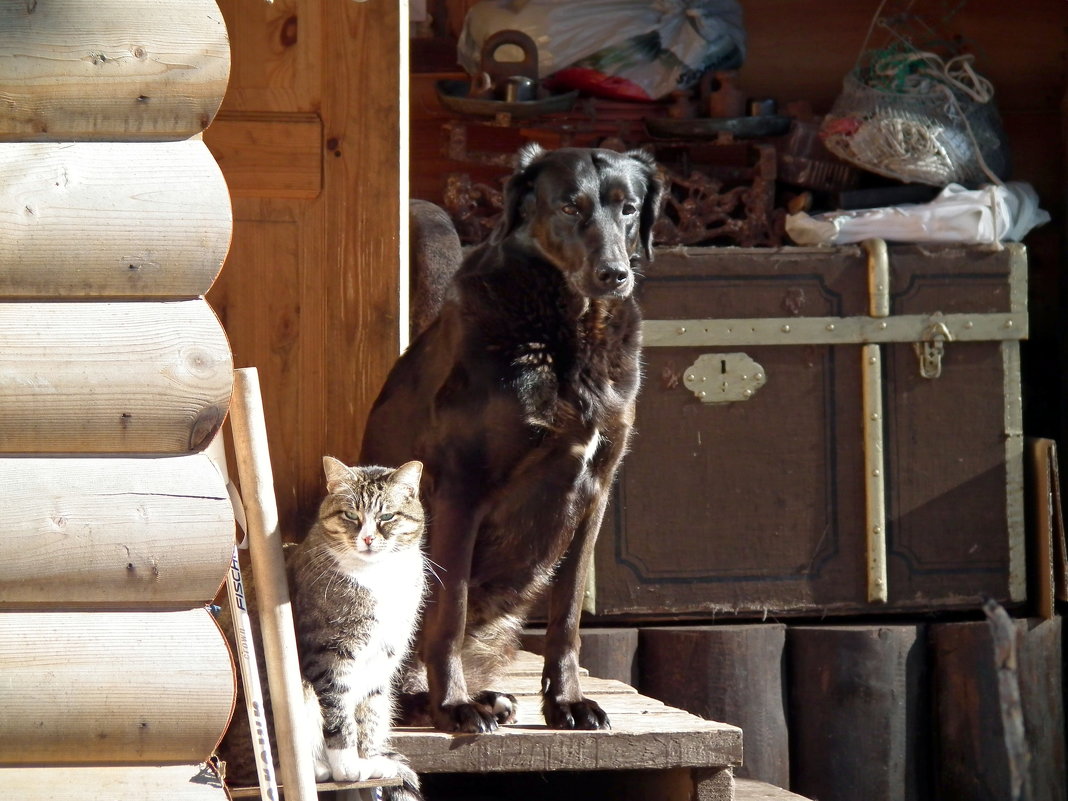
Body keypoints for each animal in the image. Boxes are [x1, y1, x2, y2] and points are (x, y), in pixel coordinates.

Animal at [360, 143, 657, 734]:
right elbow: (447, 612)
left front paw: (566, 702)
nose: (614, 275)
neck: (570, 331)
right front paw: (453, 706)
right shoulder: (460, 489)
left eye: (629, 208)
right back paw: (431, 700)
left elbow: (567, 619)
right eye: (570, 206)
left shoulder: (595, 492)